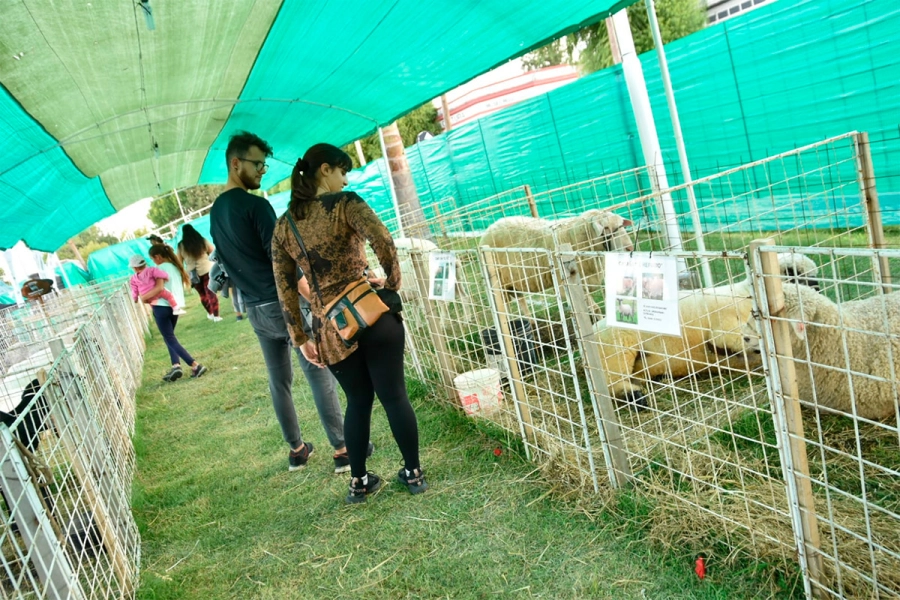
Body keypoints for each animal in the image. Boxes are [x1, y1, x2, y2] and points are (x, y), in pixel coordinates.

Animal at [478, 210, 632, 316]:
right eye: (607, 229)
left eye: (621, 226)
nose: (630, 248)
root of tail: (490, 227)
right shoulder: (569, 287)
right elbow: (595, 309)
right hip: (498, 286)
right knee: (504, 312)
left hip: (513, 284)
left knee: (522, 303)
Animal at [596, 253, 820, 408]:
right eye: (794, 273)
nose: (817, 288)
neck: (746, 294)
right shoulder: (725, 323)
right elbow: (726, 339)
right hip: (617, 343)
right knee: (611, 378)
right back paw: (633, 397)